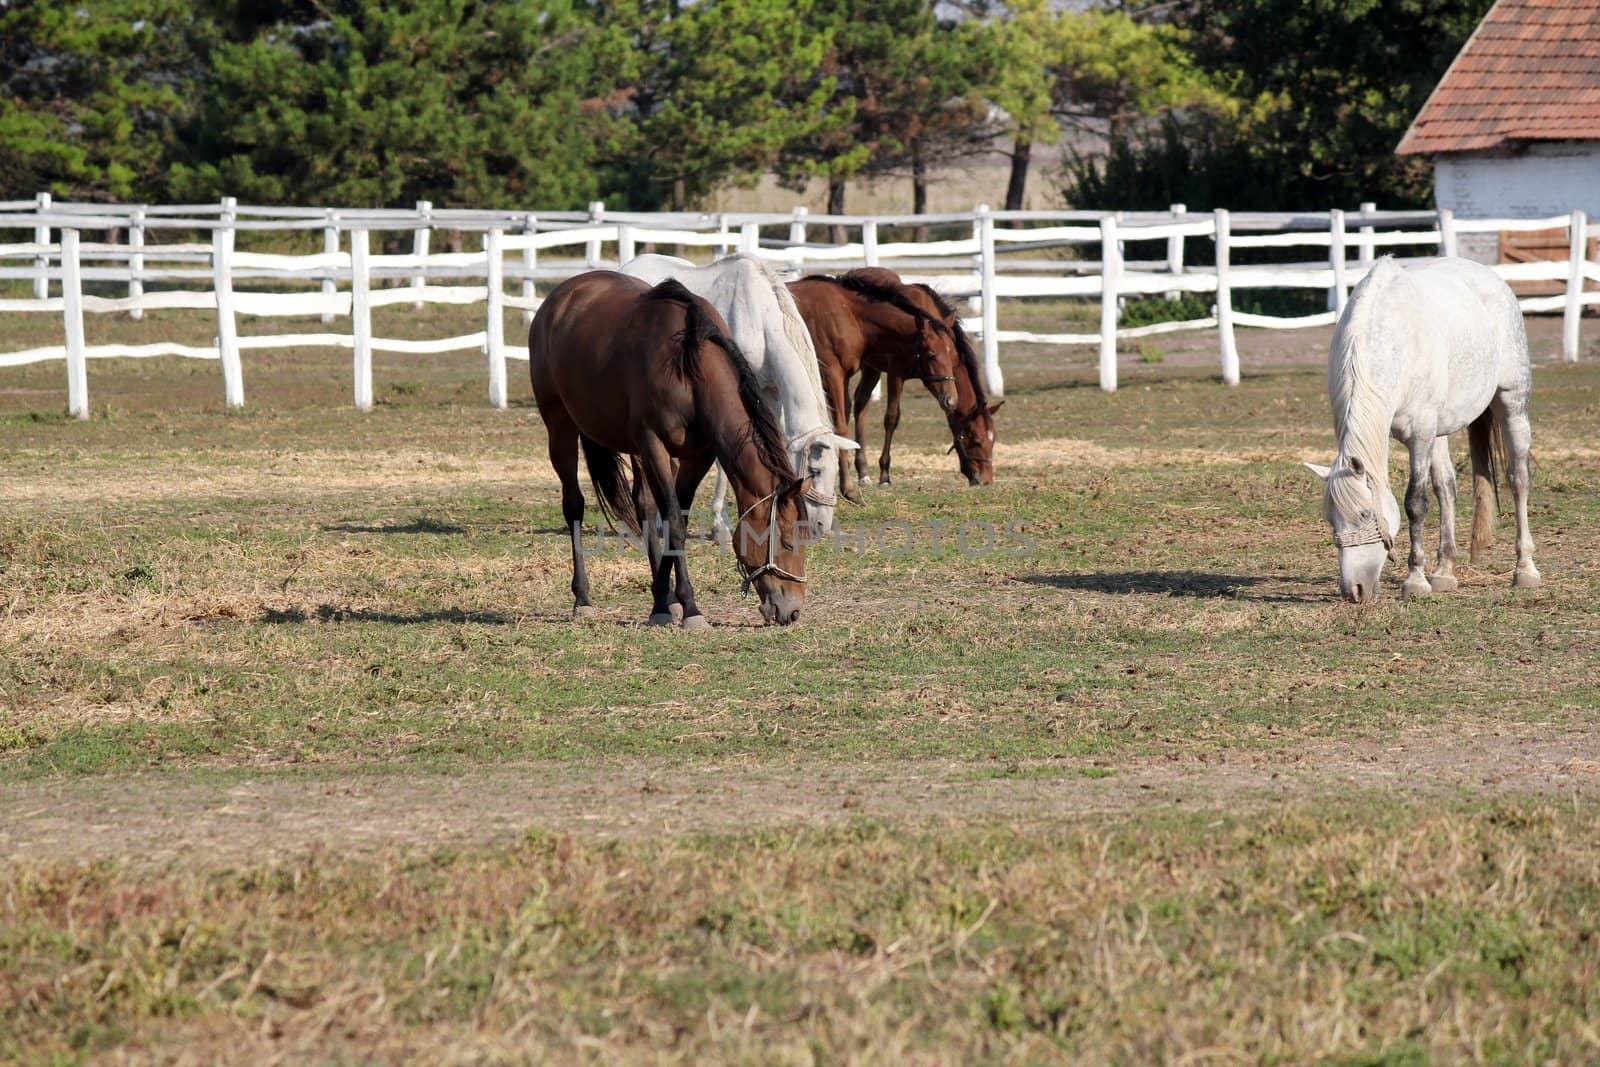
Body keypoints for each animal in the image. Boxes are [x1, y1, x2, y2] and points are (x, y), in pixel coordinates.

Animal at [531, 271, 812, 630]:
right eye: (788, 541)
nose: (793, 611)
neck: (688, 369)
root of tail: (559, 297)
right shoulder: (655, 446)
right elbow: (675, 523)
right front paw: (690, 607)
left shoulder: (697, 456)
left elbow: (675, 520)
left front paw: (664, 601)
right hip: (560, 428)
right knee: (574, 506)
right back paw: (582, 599)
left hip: (635, 451)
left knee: (645, 506)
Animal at [787, 267, 960, 502]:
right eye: (932, 355)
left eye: (953, 356)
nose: (951, 400)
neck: (847, 315)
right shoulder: (832, 375)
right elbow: (840, 428)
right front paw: (848, 489)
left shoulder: (844, 377)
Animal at [851, 279, 998, 489]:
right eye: (977, 441)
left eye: (993, 441)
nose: (987, 480)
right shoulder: (896, 373)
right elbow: (891, 418)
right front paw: (885, 474)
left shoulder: (943, 386)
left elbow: (953, 420)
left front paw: (968, 472)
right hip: (868, 367)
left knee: (861, 404)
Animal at [1305, 255, 1542, 601]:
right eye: (1329, 518)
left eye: (1364, 514)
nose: (1355, 590)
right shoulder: (1427, 432)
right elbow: (1438, 491)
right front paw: (1431, 575)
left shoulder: (1419, 435)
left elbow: (1415, 503)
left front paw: (1415, 581)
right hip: (1439, 430)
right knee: (1447, 487)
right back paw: (1444, 572)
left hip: (1512, 403)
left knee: (1518, 480)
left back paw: (1525, 569)